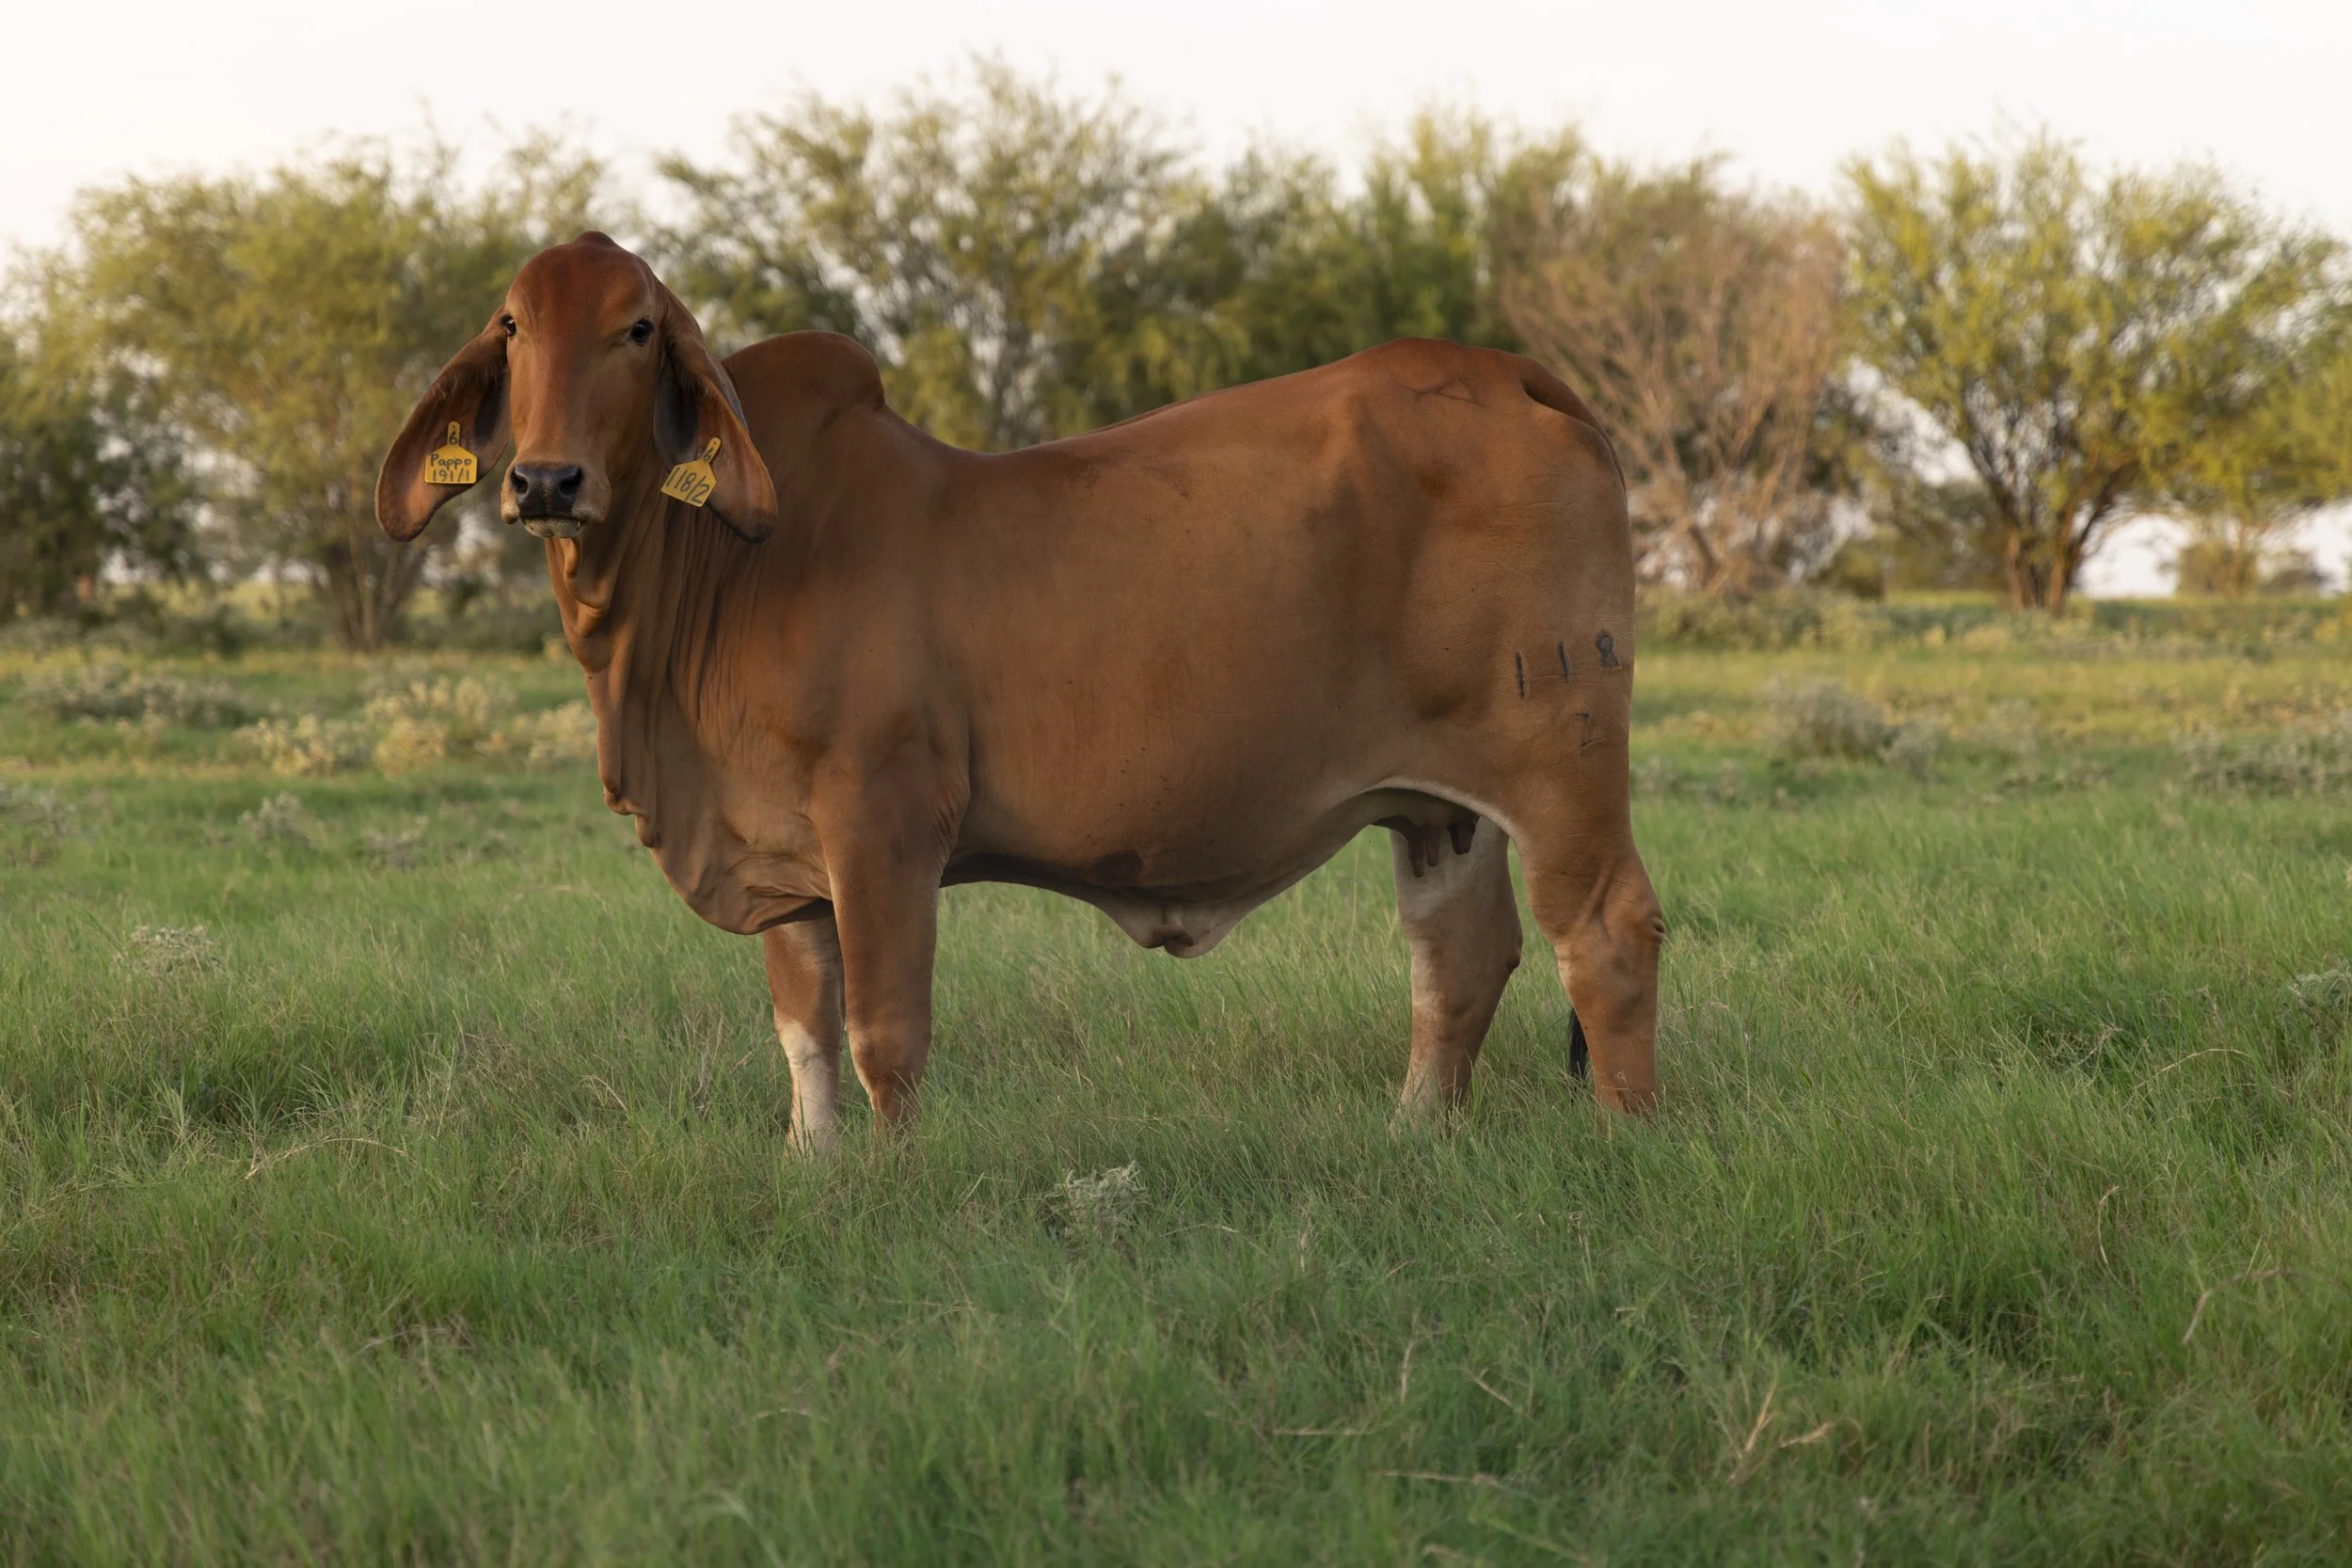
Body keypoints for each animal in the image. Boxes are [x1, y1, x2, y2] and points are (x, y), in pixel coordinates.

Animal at [377, 233, 1665, 1152]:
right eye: (512, 326)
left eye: (637, 328)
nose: (545, 480)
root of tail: (1510, 372)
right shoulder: (783, 858)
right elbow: (804, 1038)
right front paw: (817, 1173)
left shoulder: (882, 820)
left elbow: (883, 1034)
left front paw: (895, 1185)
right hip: (1440, 802)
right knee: (1458, 958)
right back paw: (1410, 1139)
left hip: (1559, 758)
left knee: (1603, 932)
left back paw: (1624, 1145)